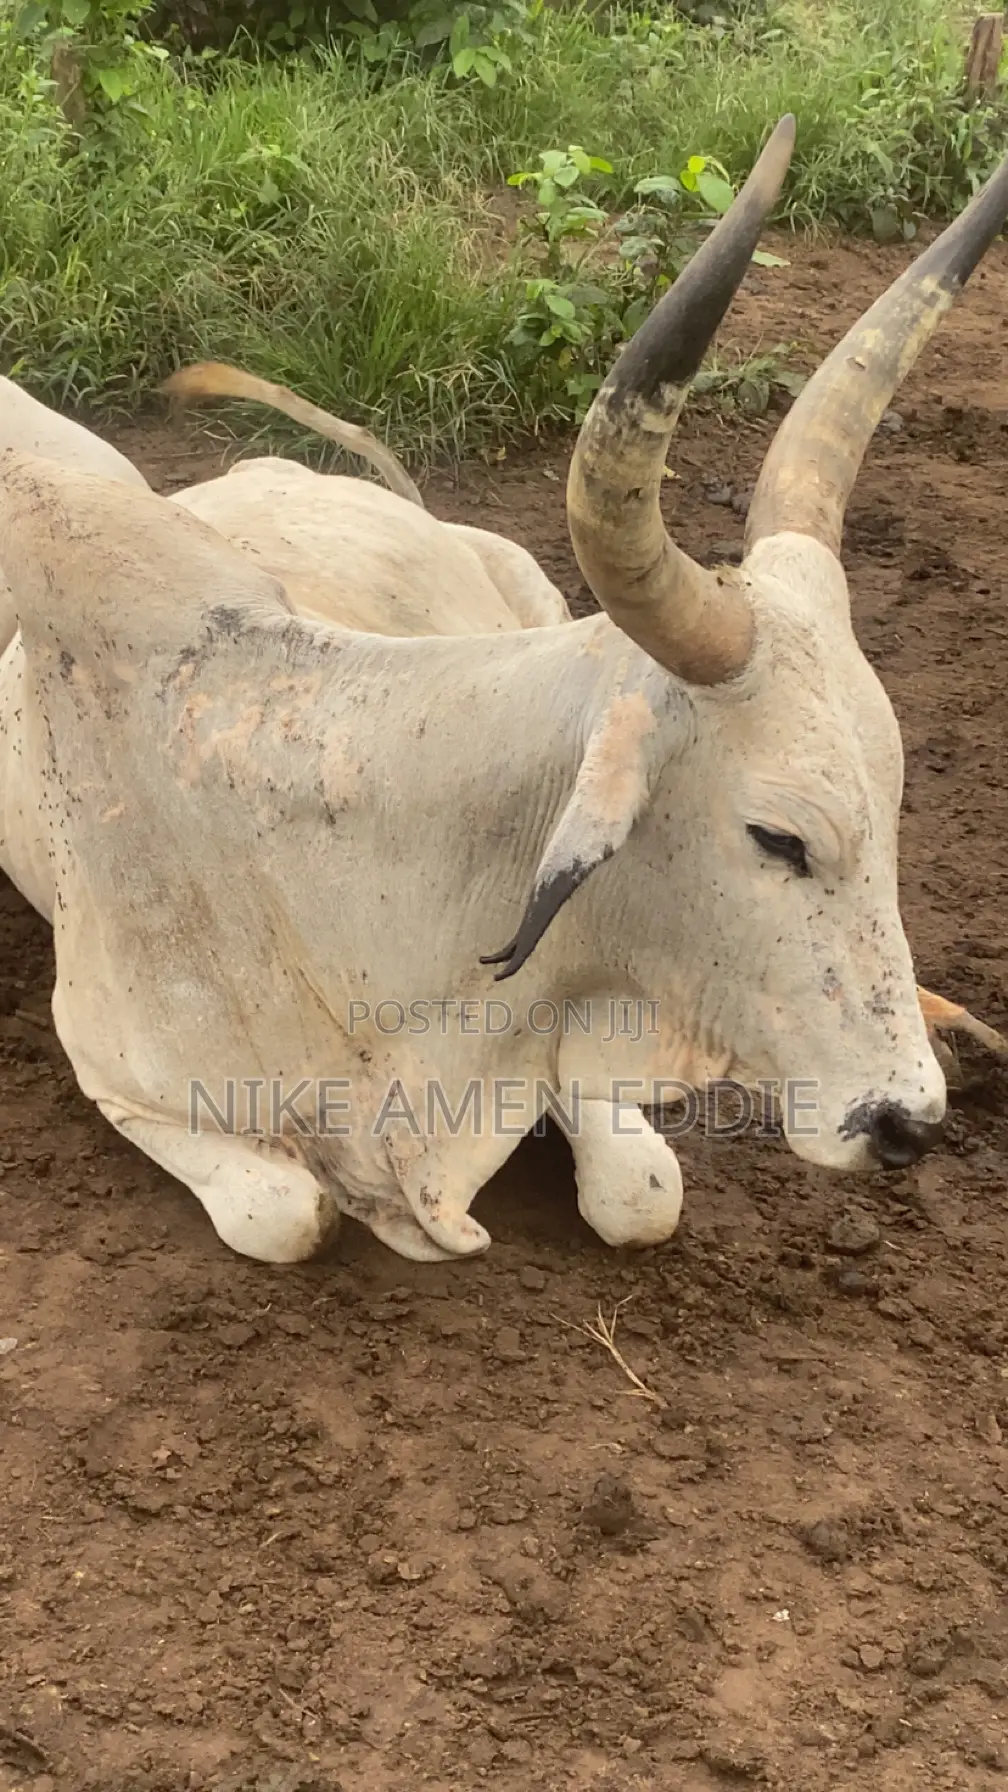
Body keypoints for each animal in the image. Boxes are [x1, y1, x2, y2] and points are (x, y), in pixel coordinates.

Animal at [0, 114, 1006, 1269]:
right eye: (779, 837)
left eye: (892, 810)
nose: (905, 1121)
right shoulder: (120, 1079)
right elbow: (287, 1215)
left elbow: (644, 1189)